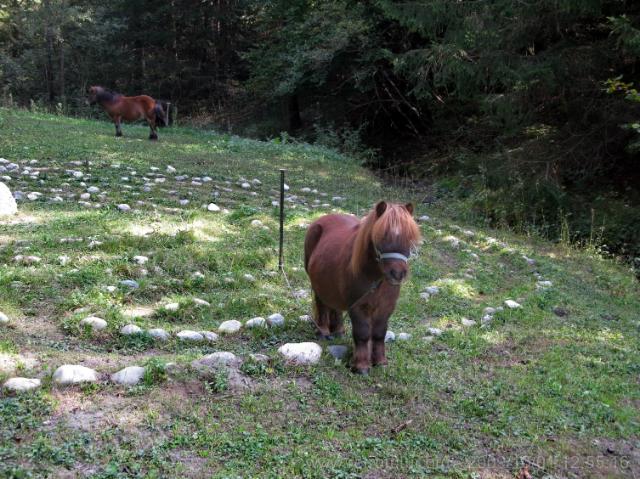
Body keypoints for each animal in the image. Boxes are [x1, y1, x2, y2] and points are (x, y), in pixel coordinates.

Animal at [304, 202, 420, 376]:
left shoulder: (386, 308)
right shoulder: (358, 307)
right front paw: (361, 366)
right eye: (382, 236)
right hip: (317, 284)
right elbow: (363, 334)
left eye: (409, 237)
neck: (376, 278)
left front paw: (380, 362)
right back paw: (323, 331)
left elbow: (379, 334)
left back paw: (338, 330)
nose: (398, 274)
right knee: (322, 305)